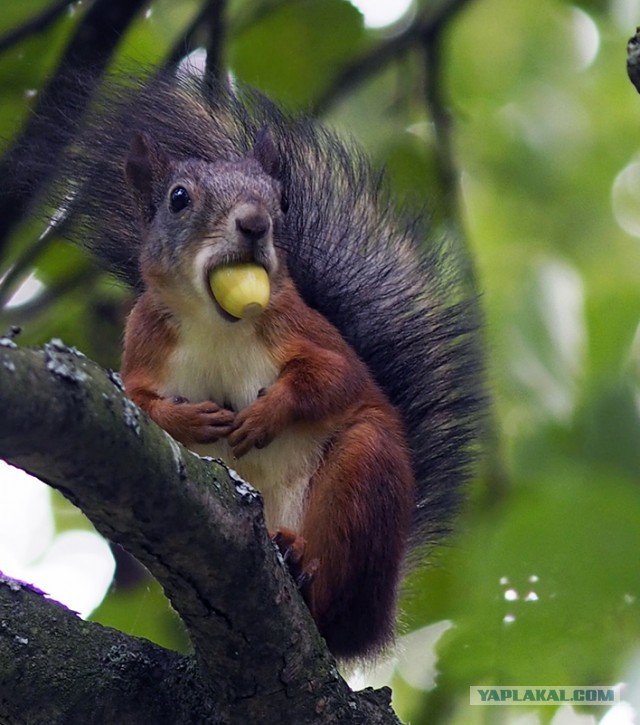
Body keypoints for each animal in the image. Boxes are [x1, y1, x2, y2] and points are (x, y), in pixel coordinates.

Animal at [36, 73, 484, 660]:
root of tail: (375, 617)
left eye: (281, 199)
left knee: (334, 590)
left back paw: (301, 569)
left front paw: (268, 413)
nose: (255, 223)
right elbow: (139, 401)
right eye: (179, 198)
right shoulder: (143, 348)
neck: (217, 323)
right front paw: (190, 420)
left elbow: (337, 378)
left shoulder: (305, 331)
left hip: (364, 476)